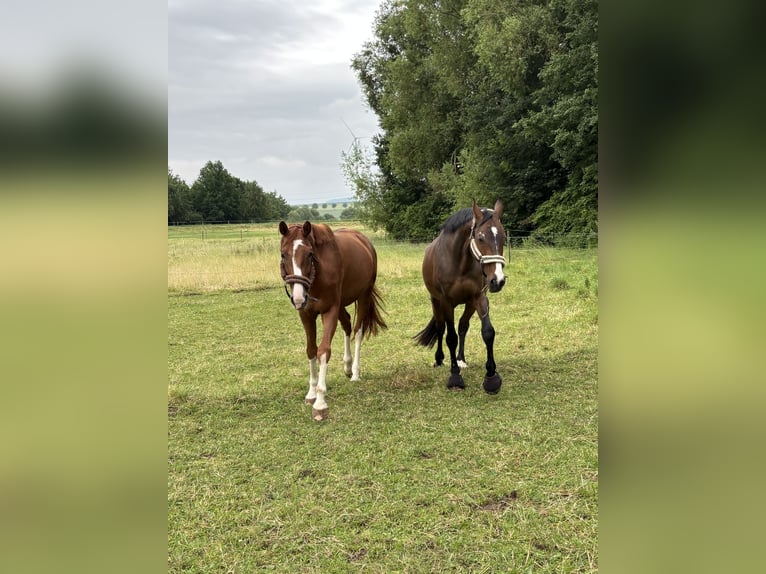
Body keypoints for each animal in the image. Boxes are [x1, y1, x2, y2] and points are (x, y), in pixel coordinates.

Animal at [278, 220, 387, 421]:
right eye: (283, 254)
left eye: (310, 254)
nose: (298, 298)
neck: (318, 274)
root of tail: (364, 241)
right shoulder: (307, 314)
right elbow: (311, 350)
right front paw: (311, 393)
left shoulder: (329, 311)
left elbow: (323, 351)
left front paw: (320, 402)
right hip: (342, 303)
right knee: (347, 325)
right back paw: (347, 366)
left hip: (363, 296)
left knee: (358, 331)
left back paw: (355, 372)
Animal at [415, 199, 507, 393]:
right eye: (480, 238)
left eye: (503, 237)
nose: (498, 280)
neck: (460, 262)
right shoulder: (446, 302)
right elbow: (450, 337)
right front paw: (455, 377)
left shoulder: (479, 298)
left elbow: (487, 332)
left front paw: (491, 377)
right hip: (436, 302)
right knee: (441, 328)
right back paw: (440, 359)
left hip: (469, 304)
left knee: (463, 326)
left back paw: (461, 359)